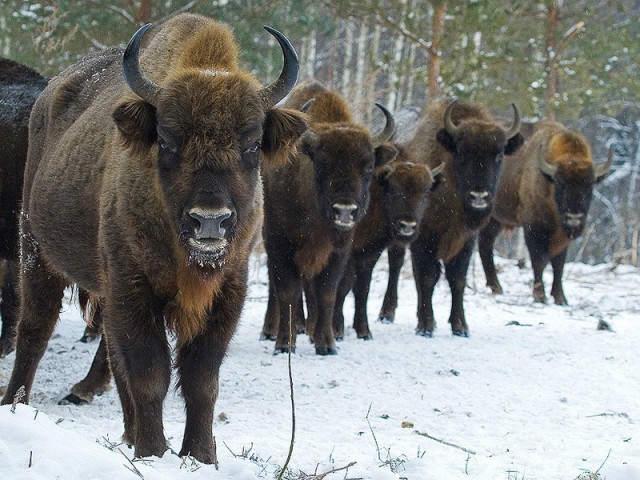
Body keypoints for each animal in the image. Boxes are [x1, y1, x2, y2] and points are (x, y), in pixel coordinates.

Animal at [1, 15, 308, 464]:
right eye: (167, 140)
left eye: (252, 144)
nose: (210, 222)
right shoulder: (134, 288)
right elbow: (151, 374)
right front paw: (154, 451)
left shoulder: (227, 292)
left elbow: (201, 380)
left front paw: (200, 455)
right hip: (36, 253)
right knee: (34, 331)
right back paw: (15, 405)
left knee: (110, 354)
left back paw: (125, 431)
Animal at [258, 80, 396, 354]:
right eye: (322, 165)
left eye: (368, 167)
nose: (344, 210)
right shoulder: (280, 244)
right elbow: (287, 291)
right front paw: (284, 344)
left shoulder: (338, 251)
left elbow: (327, 293)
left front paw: (326, 343)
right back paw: (272, 331)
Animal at [330, 148, 444, 340]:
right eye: (394, 189)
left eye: (426, 192)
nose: (407, 225)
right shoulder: (348, 253)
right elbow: (343, 285)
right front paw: (337, 330)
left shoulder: (370, 253)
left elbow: (362, 288)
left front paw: (364, 331)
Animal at [382, 98, 524, 338]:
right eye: (462, 153)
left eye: (498, 155)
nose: (479, 196)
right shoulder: (424, 237)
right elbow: (428, 276)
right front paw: (426, 326)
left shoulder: (466, 239)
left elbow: (457, 279)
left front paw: (460, 326)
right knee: (397, 264)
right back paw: (387, 313)